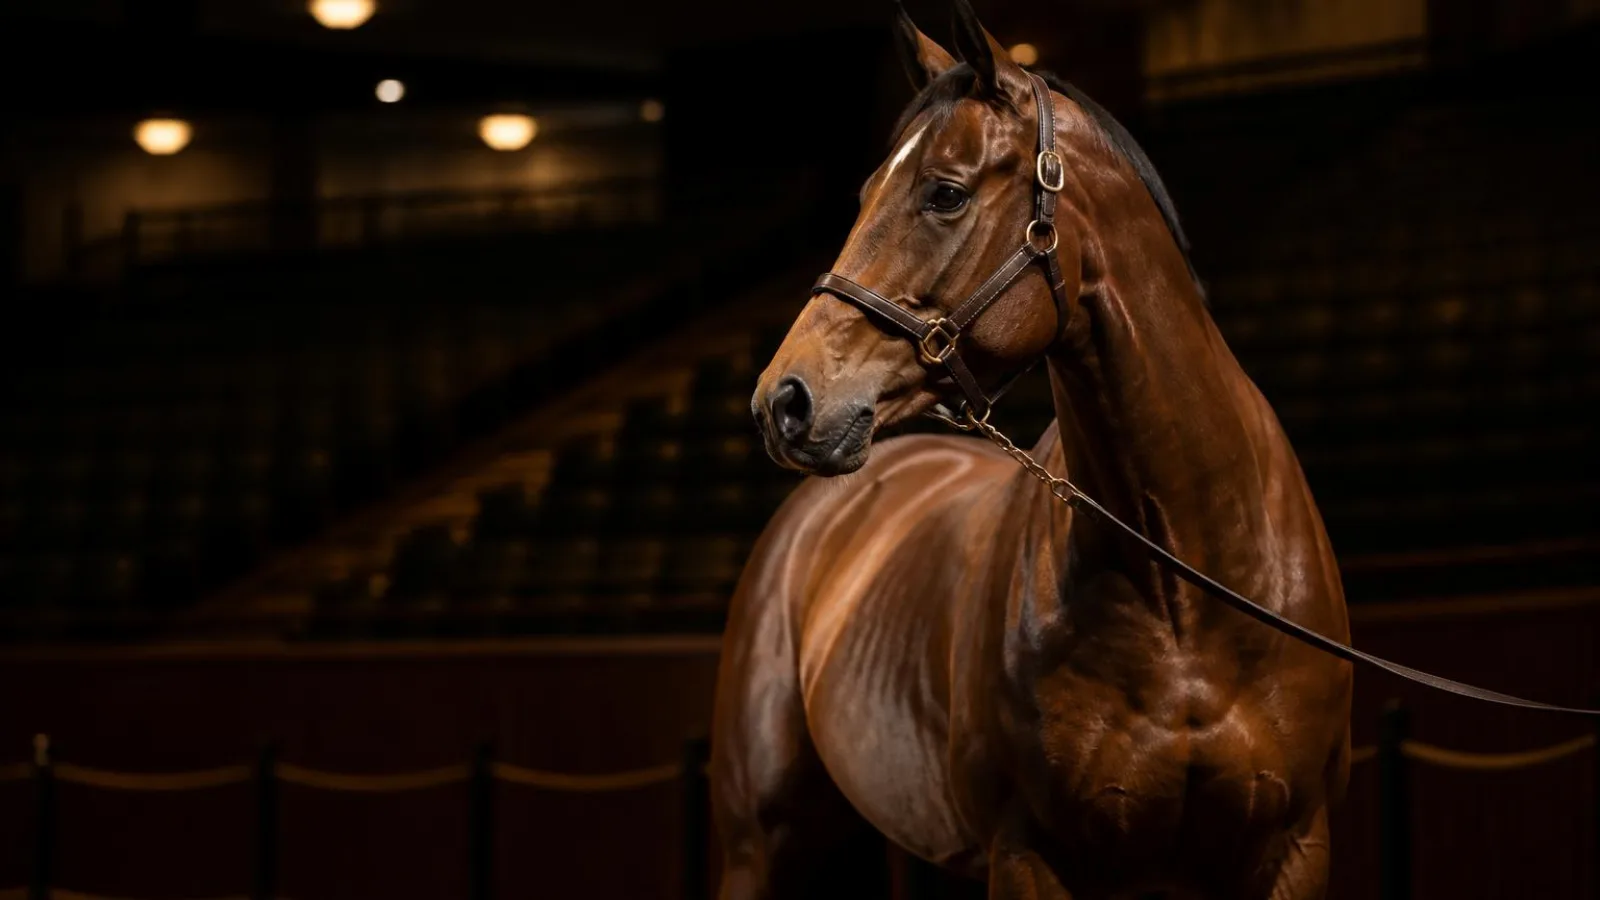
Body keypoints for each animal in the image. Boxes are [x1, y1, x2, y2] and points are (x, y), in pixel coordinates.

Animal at [711, 4, 1353, 898]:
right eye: (866, 192)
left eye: (944, 193)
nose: (785, 401)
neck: (1187, 588)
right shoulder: (1029, 855)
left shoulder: (1296, 846)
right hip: (757, 845)